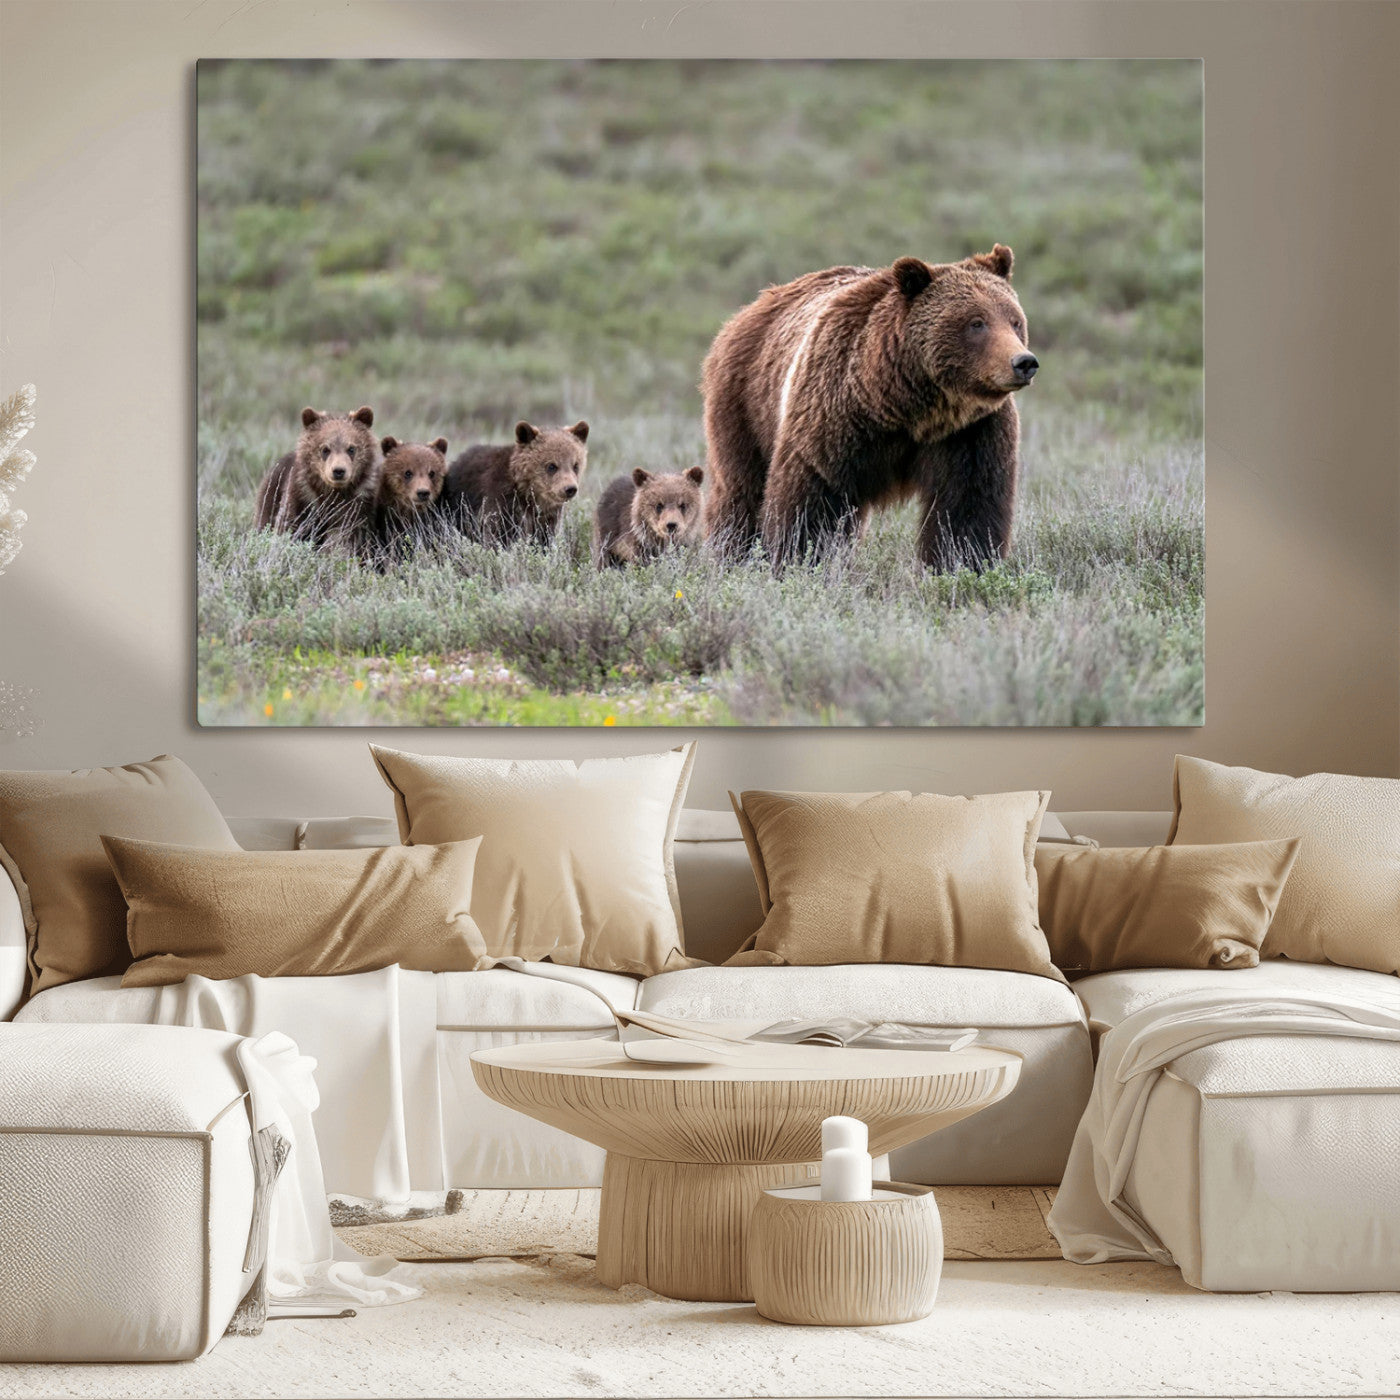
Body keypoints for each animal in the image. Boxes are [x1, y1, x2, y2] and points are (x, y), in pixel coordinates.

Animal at [254, 406, 381, 555]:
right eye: (325, 449)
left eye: (351, 448)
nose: (338, 471)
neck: (333, 491)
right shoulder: (303, 496)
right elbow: (289, 525)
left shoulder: (358, 503)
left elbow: (348, 535)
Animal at [442, 420, 589, 546]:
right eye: (552, 466)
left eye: (575, 465)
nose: (570, 489)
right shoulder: (502, 502)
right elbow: (499, 535)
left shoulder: (547, 516)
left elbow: (544, 537)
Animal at [700, 246, 1038, 571]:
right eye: (976, 323)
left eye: (1015, 321)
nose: (1024, 362)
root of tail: (751, 308)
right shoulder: (835, 416)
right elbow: (811, 498)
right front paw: (799, 561)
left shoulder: (969, 431)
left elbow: (968, 506)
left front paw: (962, 564)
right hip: (746, 401)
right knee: (740, 489)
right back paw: (731, 553)